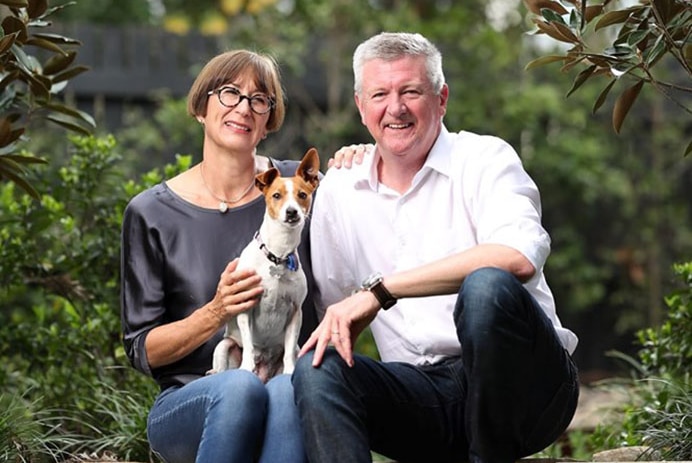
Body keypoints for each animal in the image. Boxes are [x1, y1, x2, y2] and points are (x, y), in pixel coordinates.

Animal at [212, 149, 320, 384]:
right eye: (276, 196)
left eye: (302, 195)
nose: (292, 212)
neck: (277, 255)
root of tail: (264, 376)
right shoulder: (245, 308)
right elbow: (249, 345)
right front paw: (246, 367)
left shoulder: (295, 312)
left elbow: (289, 349)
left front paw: (290, 371)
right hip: (224, 346)